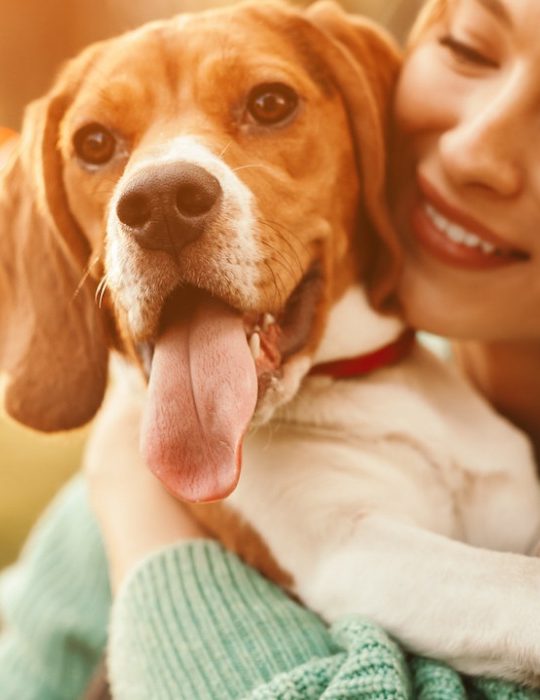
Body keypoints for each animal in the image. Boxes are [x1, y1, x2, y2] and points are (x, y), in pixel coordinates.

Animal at [1, 0, 540, 688]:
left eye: (270, 103)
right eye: (93, 143)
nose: (160, 202)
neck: (362, 385)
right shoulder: (351, 551)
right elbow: (519, 587)